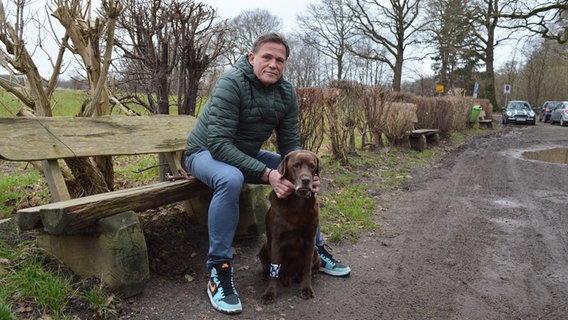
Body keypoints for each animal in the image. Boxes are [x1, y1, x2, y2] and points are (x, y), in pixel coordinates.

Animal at [258, 150, 322, 304]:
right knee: (268, 267)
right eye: (296, 165)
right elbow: (274, 270)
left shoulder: (310, 240)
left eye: (312, 166)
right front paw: (269, 293)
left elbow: (307, 268)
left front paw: (306, 289)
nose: (306, 180)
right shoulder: (276, 241)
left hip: (316, 252)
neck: (297, 204)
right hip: (264, 246)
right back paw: (265, 275)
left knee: (313, 266)